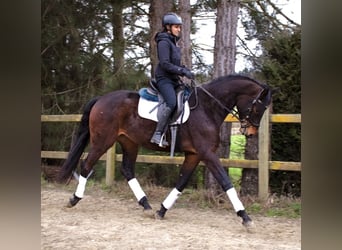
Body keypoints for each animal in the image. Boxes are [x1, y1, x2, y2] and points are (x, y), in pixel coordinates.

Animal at [58, 73, 272, 227]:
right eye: (258, 107)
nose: (250, 132)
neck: (207, 107)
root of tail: (101, 99)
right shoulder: (207, 154)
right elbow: (226, 182)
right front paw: (245, 217)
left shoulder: (194, 155)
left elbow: (182, 182)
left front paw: (161, 211)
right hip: (103, 141)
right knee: (86, 165)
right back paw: (74, 199)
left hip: (129, 142)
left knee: (127, 170)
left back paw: (146, 205)